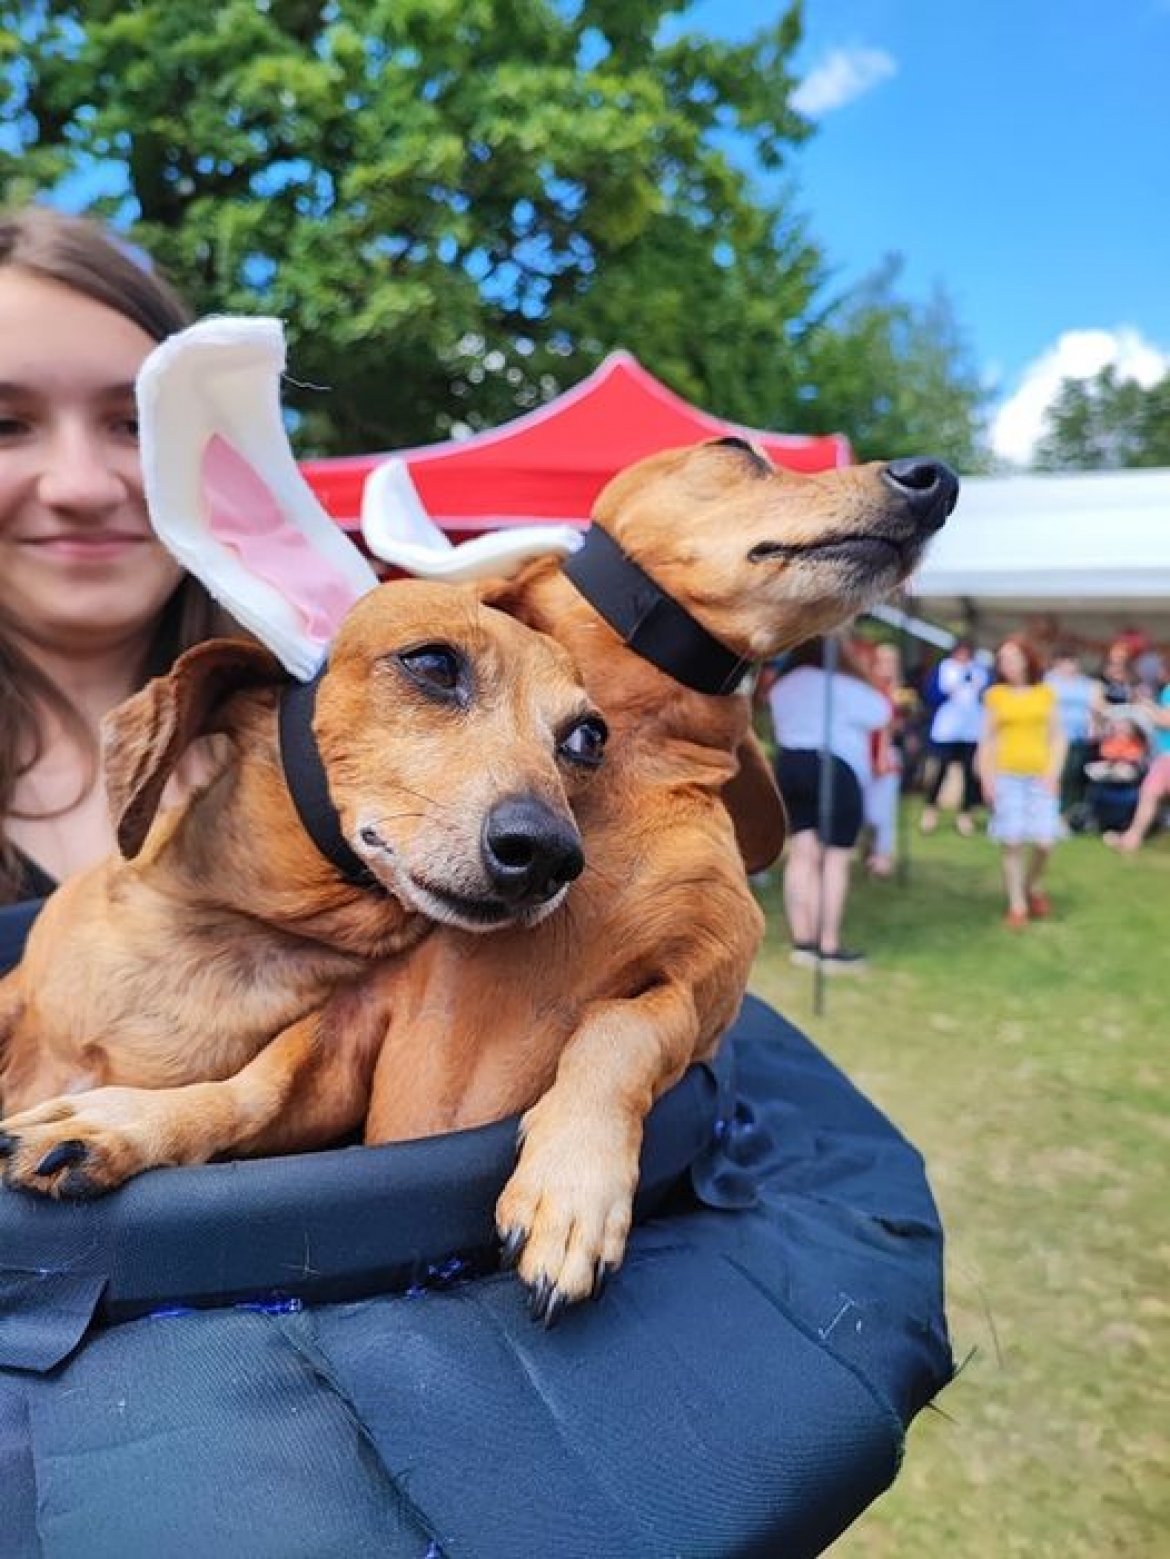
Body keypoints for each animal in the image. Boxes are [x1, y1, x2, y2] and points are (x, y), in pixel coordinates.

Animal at [0, 579, 605, 1184]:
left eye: (586, 738)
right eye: (433, 663)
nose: (548, 854)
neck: (227, 927)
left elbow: (253, 1092)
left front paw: (127, 1122)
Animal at [357, 436, 960, 1315]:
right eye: (736, 450)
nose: (936, 479)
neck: (621, 764)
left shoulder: (702, 992)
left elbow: (621, 1027)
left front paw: (572, 1187)